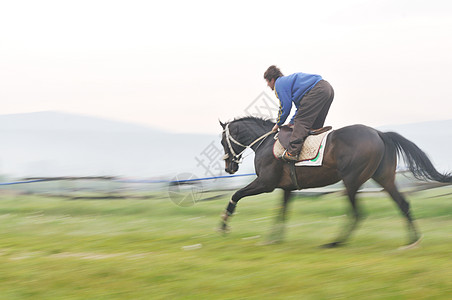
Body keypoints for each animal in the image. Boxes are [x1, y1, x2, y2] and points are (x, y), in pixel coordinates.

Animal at [218, 116, 448, 247]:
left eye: (222, 141)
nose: (229, 167)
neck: (265, 142)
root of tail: (379, 133)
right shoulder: (287, 188)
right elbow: (282, 212)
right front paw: (274, 238)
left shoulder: (266, 184)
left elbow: (236, 195)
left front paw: (224, 224)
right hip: (384, 178)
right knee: (403, 204)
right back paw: (413, 240)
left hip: (352, 181)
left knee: (357, 213)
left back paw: (336, 242)